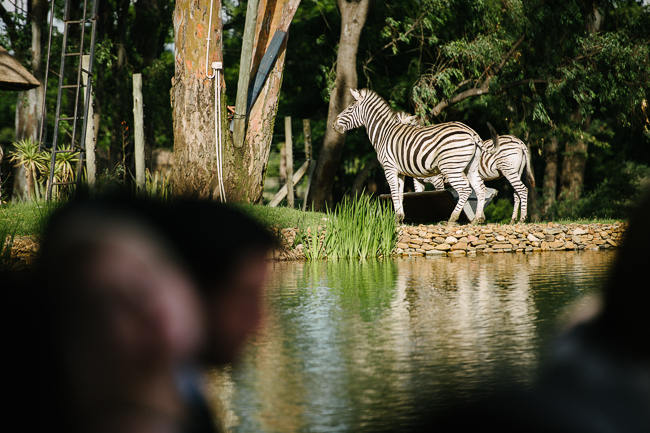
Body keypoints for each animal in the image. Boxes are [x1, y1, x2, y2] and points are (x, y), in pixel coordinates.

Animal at [332, 88, 494, 223]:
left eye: (350, 108)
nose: (333, 125)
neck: (384, 132)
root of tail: (471, 132)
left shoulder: (389, 168)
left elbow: (393, 191)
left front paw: (396, 218)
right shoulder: (401, 172)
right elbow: (400, 193)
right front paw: (400, 216)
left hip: (450, 167)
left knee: (465, 189)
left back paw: (452, 218)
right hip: (470, 167)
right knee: (480, 189)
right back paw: (477, 219)